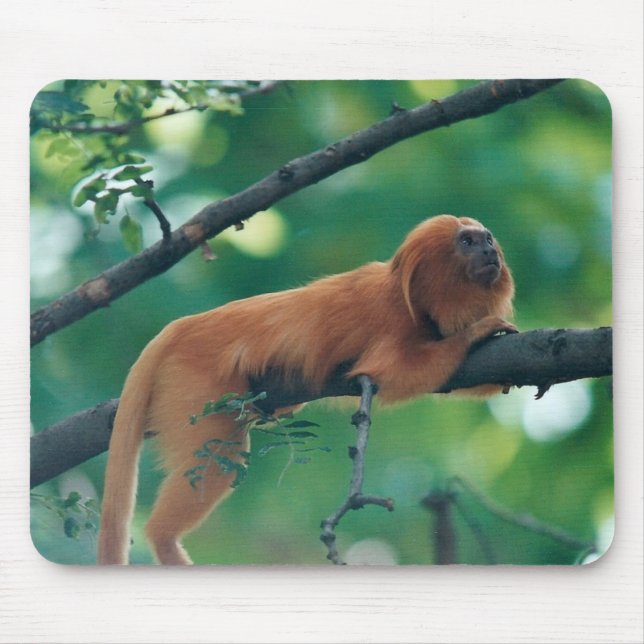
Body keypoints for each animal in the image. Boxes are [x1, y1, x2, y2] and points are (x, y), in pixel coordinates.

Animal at [97, 214, 516, 565]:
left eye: (487, 238)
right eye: (467, 241)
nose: (489, 250)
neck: (419, 298)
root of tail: (185, 326)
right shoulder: (395, 322)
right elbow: (395, 374)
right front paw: (477, 332)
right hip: (196, 385)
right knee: (222, 450)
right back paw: (164, 540)